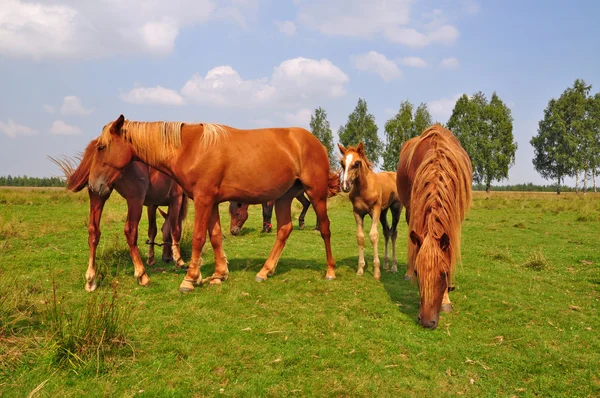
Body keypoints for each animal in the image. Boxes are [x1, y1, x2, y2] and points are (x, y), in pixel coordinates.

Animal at [51, 138, 189, 290]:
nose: (166, 258)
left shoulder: (152, 205)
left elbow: (152, 230)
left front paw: (151, 258)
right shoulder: (176, 199)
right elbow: (175, 230)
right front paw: (179, 260)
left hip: (98, 194)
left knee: (93, 232)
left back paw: (91, 278)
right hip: (135, 200)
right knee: (130, 231)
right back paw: (142, 275)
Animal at [86, 115, 340, 292]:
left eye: (101, 147)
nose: (94, 186)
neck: (190, 148)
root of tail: (316, 143)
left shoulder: (203, 199)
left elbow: (199, 237)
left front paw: (190, 279)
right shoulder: (213, 202)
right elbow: (216, 236)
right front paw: (219, 275)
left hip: (315, 194)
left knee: (325, 228)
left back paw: (330, 270)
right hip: (284, 197)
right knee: (284, 230)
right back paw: (265, 271)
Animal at [340, 142, 400, 280]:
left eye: (357, 163)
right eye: (342, 163)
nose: (345, 186)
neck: (364, 188)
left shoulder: (375, 210)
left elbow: (373, 235)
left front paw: (376, 271)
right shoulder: (357, 213)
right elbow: (360, 237)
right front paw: (360, 269)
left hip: (395, 208)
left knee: (394, 233)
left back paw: (394, 266)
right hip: (384, 211)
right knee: (387, 231)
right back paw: (386, 264)